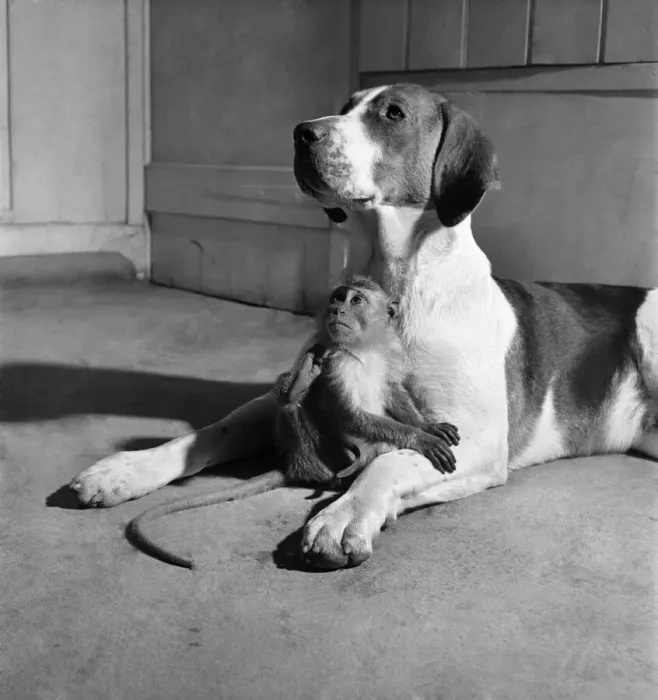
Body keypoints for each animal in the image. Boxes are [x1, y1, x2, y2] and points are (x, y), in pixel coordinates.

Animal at [128, 276, 460, 570]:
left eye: (356, 300)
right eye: (338, 297)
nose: (336, 310)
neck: (363, 348)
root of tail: (294, 464)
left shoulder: (387, 353)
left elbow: (393, 391)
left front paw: (426, 427)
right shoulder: (334, 360)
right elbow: (350, 414)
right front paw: (421, 439)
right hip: (316, 451)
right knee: (294, 405)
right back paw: (301, 397)